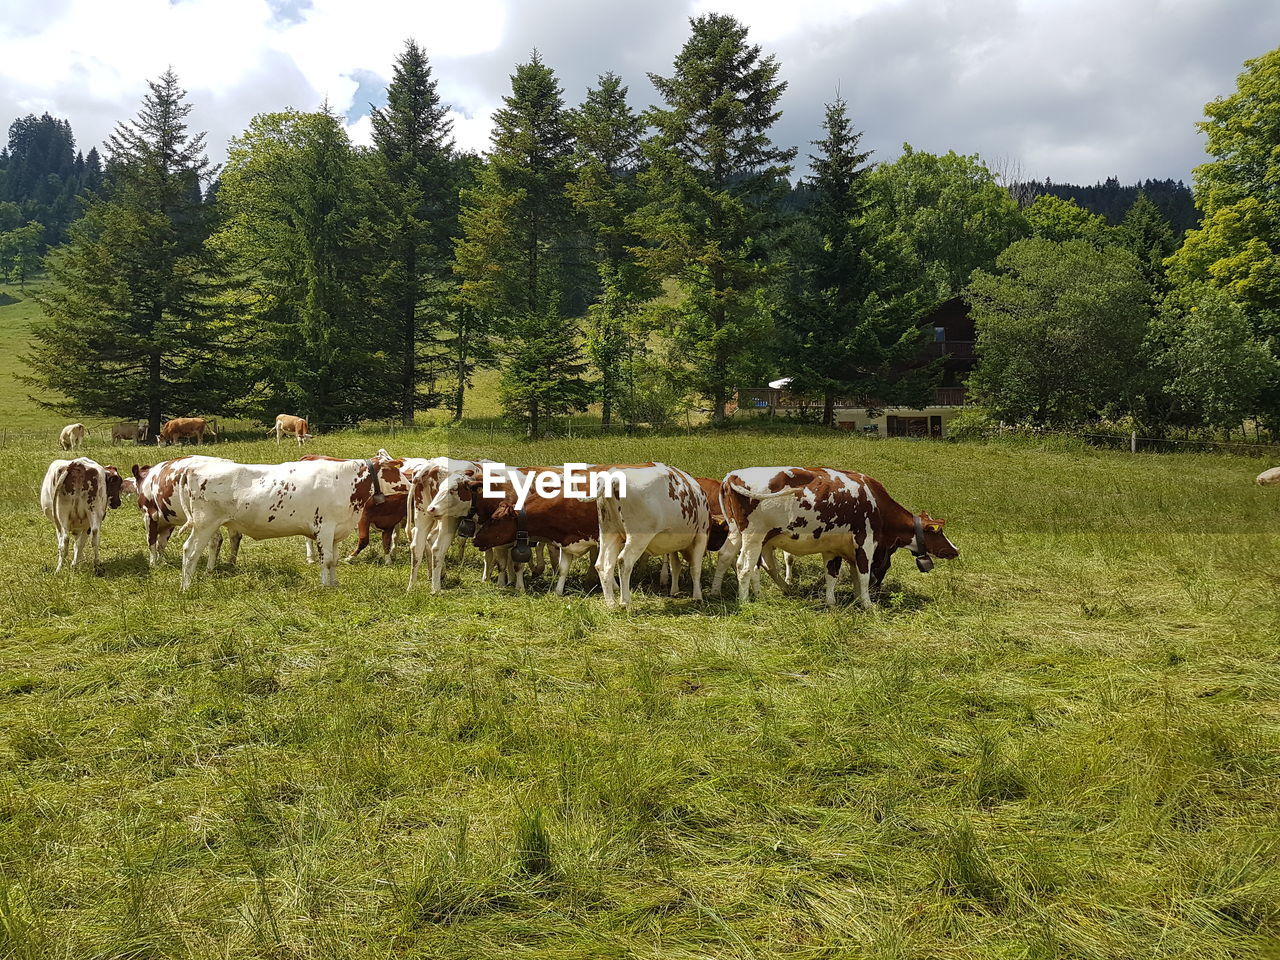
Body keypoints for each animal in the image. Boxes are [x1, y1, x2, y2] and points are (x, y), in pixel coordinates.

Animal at [167, 455, 401, 591]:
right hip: (204, 523)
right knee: (190, 551)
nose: (409, 483)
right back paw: (186, 587)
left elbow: (333, 560)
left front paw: (334, 584)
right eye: (398, 470)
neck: (345, 483)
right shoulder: (324, 528)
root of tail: (192, 468)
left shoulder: (337, 531)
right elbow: (325, 560)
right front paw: (325, 586)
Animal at [596, 463, 716, 611]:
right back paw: (625, 602)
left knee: (602, 565)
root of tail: (613, 479)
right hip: (638, 537)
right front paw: (698, 597)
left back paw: (611, 603)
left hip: (610, 532)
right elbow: (695, 569)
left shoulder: (673, 543)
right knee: (624, 561)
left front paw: (674, 591)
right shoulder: (701, 536)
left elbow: (675, 566)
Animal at [716, 468, 957, 609]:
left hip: (738, 534)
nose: (955, 550)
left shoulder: (834, 548)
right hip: (754, 536)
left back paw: (717, 591)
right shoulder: (865, 542)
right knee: (745, 567)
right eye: (938, 532)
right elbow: (862, 574)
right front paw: (867, 603)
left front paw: (836, 601)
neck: (876, 502)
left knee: (729, 557)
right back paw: (745, 602)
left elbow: (836, 574)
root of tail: (733, 475)